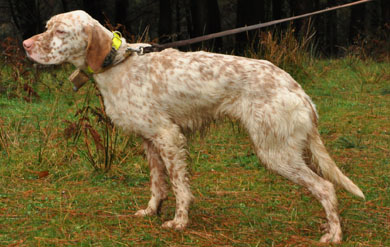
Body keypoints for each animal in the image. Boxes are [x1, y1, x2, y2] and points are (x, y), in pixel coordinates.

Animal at [21, 10, 364, 243]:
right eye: (46, 27)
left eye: (61, 30)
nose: (25, 45)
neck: (120, 64)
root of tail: (297, 88)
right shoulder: (150, 141)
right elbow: (158, 185)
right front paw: (152, 211)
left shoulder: (168, 136)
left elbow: (179, 187)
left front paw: (179, 222)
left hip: (275, 152)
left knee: (325, 187)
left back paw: (334, 234)